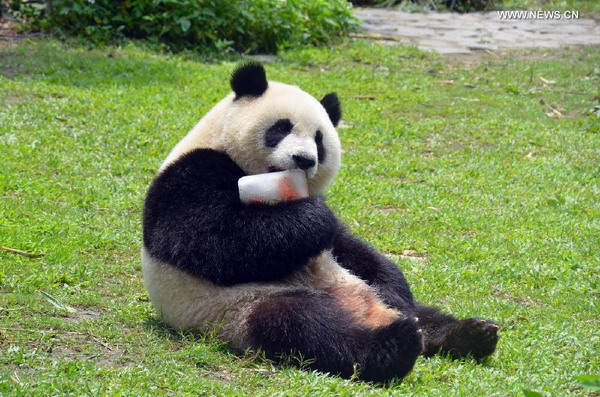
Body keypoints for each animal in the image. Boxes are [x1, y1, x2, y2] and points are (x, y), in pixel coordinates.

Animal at [141, 62, 496, 380]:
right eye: (281, 128)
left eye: (319, 139)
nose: (304, 160)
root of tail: (365, 310)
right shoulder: (191, 173)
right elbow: (214, 240)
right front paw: (313, 215)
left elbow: (351, 248)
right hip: (240, 307)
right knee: (303, 327)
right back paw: (396, 345)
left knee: (420, 311)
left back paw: (467, 333)